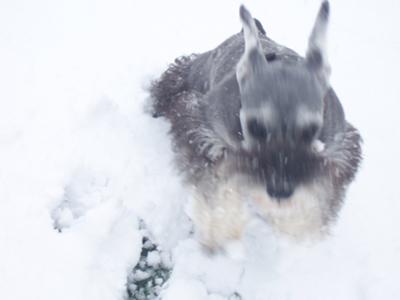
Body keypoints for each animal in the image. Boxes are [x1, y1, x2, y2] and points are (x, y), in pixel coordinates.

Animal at [150, 1, 362, 251]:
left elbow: (319, 196)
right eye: (255, 126)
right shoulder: (203, 131)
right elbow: (219, 187)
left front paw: (299, 228)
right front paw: (221, 231)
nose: (280, 190)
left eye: (311, 129)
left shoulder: (339, 150)